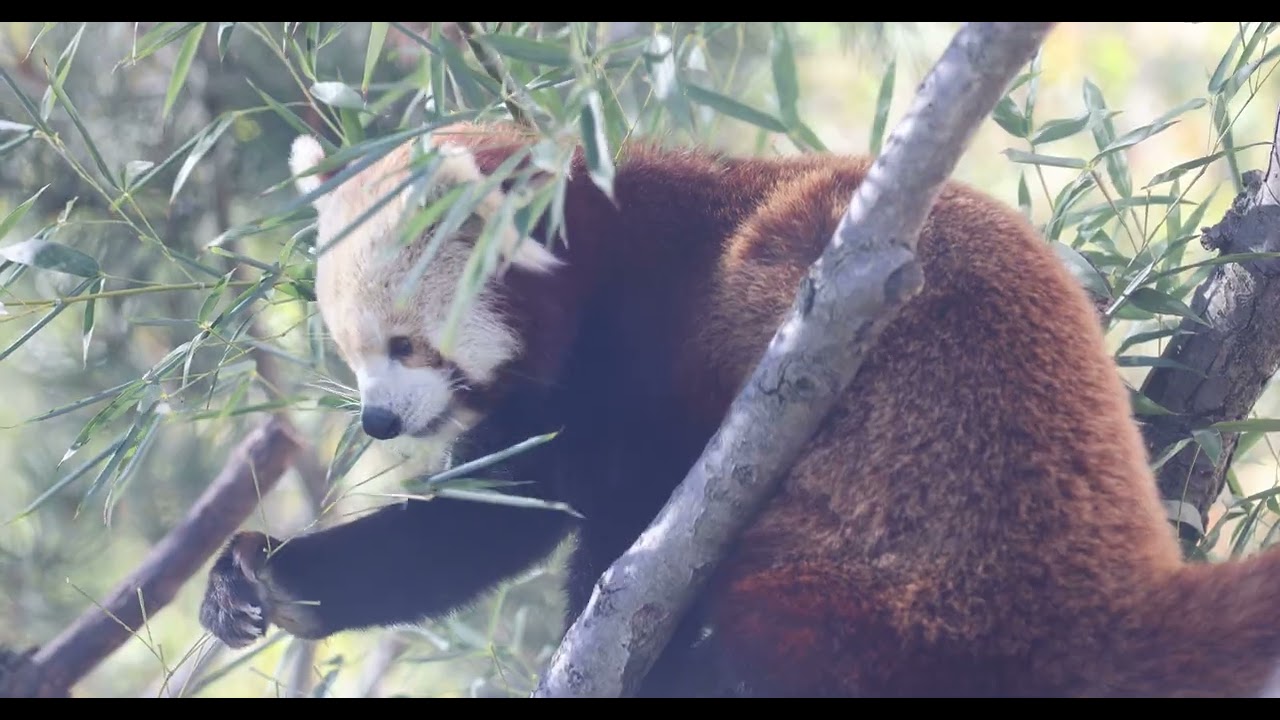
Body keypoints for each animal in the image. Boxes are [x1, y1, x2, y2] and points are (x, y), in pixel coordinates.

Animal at [198, 121, 1280, 697]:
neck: (598, 252)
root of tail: (1109, 592)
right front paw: (259, 579)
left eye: (405, 346)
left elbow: (620, 522)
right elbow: (486, 521)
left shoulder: (650, 346)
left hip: (879, 586)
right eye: (347, 353)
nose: (379, 423)